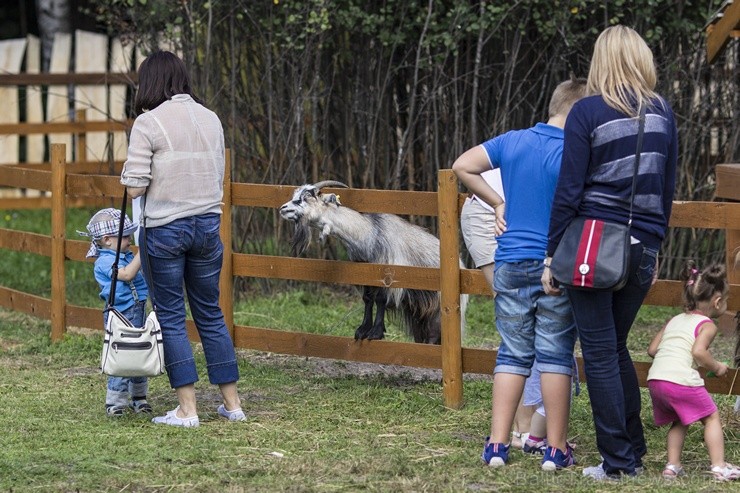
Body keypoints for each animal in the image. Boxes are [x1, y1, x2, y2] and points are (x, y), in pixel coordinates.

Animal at [276, 179, 462, 344]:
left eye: (308, 197)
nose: (283, 208)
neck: (369, 235)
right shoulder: (363, 270)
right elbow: (367, 299)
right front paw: (362, 330)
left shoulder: (387, 273)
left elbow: (380, 299)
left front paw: (375, 333)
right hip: (418, 311)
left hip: (439, 307)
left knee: (434, 333)